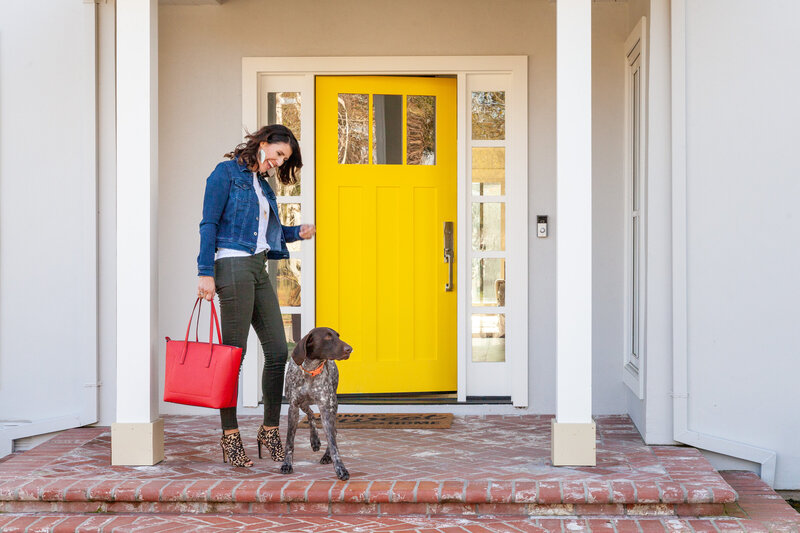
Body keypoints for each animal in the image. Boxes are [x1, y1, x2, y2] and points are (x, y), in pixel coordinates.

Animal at [284, 326, 354, 480]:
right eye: (327, 337)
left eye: (338, 336)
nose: (350, 349)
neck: (310, 370)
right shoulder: (293, 406)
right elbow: (289, 442)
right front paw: (287, 464)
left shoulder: (325, 408)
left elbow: (333, 444)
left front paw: (340, 468)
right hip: (302, 404)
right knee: (310, 413)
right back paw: (314, 439)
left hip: (332, 403)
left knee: (333, 430)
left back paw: (325, 454)